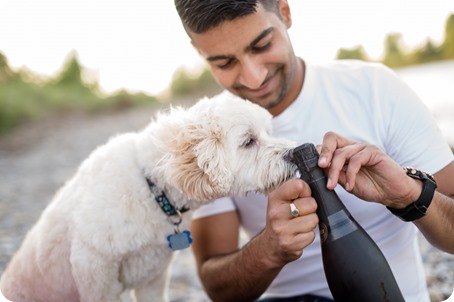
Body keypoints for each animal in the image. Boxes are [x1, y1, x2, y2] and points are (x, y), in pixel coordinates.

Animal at [0, 93, 296, 300]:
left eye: (268, 131)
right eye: (248, 141)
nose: (293, 153)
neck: (151, 188)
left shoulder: (154, 279)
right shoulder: (95, 271)